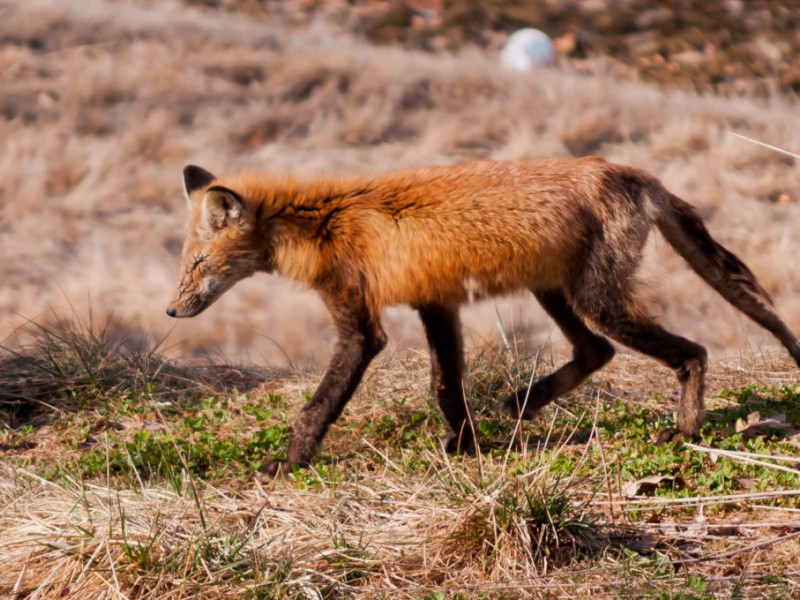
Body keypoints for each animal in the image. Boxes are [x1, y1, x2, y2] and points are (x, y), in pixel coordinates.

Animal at [167, 157, 800, 478]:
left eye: (197, 263)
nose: (172, 309)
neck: (323, 223)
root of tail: (635, 173)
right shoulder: (435, 301)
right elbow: (446, 383)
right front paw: (467, 443)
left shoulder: (360, 325)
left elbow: (317, 407)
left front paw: (288, 463)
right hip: (554, 290)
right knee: (596, 352)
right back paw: (526, 400)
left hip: (597, 302)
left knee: (690, 352)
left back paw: (686, 430)